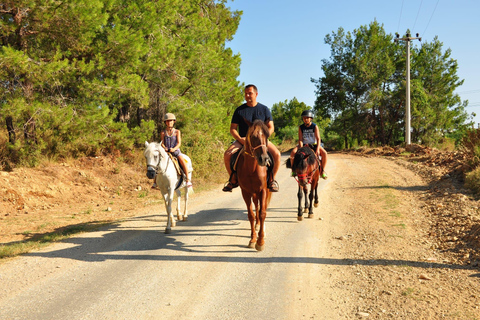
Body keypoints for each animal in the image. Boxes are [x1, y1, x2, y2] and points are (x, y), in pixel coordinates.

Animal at [237, 119, 274, 250]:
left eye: (267, 136)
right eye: (253, 137)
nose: (264, 159)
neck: (251, 169)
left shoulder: (262, 190)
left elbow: (263, 213)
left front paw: (260, 241)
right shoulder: (246, 192)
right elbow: (251, 215)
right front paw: (253, 239)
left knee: (262, 207)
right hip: (254, 193)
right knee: (256, 206)